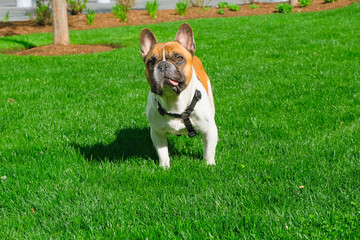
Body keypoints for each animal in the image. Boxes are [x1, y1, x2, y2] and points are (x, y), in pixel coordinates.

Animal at [140, 23, 218, 169]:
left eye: (179, 58)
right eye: (150, 63)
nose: (162, 65)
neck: (173, 101)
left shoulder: (209, 129)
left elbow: (209, 150)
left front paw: (209, 165)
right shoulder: (157, 132)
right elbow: (162, 152)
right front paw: (164, 167)